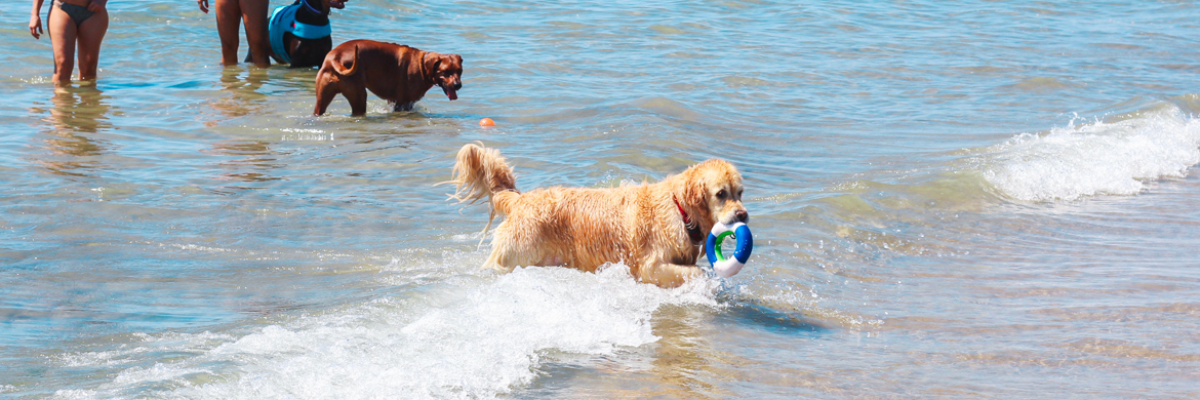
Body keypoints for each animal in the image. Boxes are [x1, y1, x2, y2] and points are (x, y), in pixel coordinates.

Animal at [312, 39, 460, 115]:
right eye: (445, 72)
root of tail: (335, 58)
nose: (458, 85)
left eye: (459, 71)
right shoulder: (403, 103)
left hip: (323, 97)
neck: (423, 64)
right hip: (359, 96)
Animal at [446, 143, 748, 287]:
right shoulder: (649, 267)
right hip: (514, 257)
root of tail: (520, 199)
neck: (679, 208)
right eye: (721, 194)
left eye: (740, 192)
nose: (743, 215)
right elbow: (696, 273)